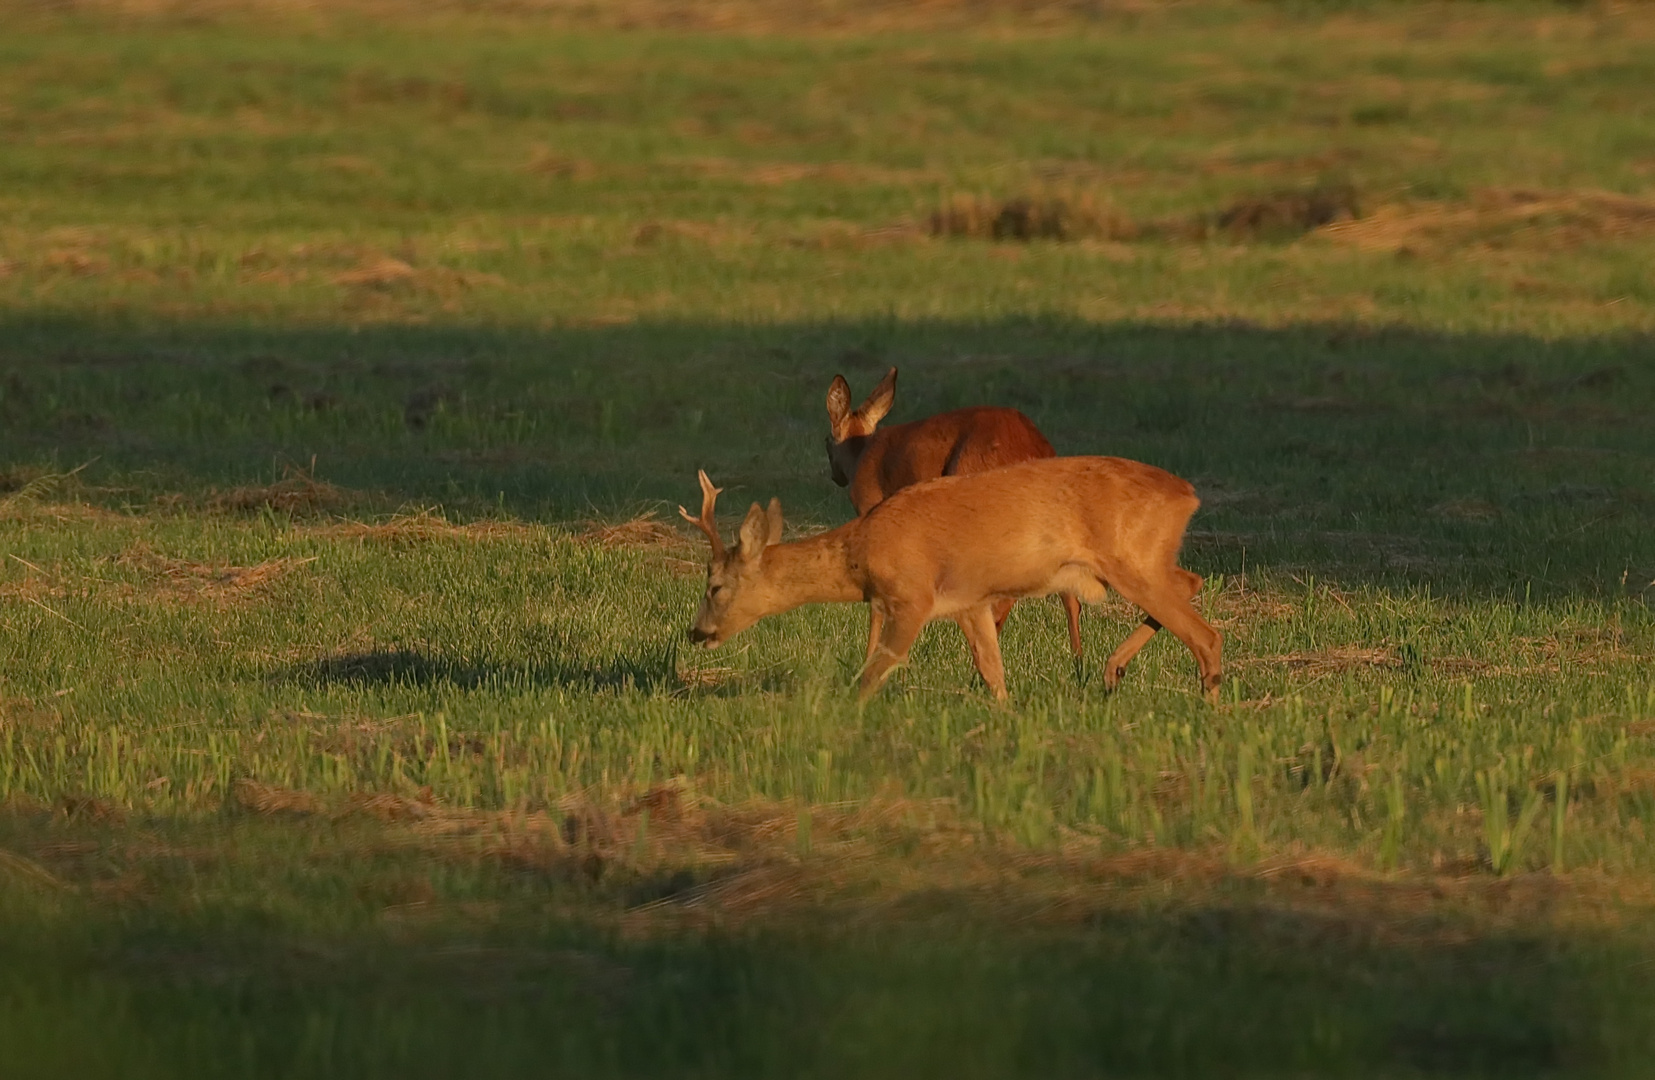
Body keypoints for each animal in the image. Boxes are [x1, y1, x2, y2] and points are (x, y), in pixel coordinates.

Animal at [678, 456, 1224, 704]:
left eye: (715, 586)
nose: (695, 632)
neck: (862, 552)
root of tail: (1188, 494)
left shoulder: (912, 597)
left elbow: (874, 671)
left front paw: (843, 717)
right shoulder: (969, 601)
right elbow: (992, 671)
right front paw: (1008, 718)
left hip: (1133, 560)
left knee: (1206, 634)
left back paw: (1208, 707)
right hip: (1144, 561)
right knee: (1191, 582)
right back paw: (1114, 671)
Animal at [824, 367, 1085, 658]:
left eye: (826, 442)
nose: (836, 477)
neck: (859, 453)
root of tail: (1036, 449)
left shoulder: (871, 506)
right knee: (1069, 593)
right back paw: (1079, 661)